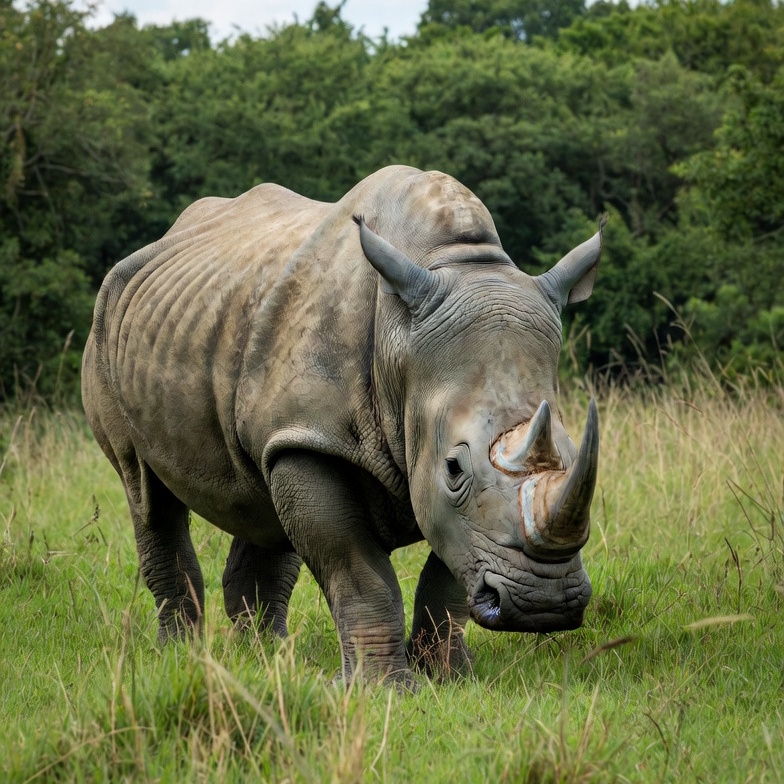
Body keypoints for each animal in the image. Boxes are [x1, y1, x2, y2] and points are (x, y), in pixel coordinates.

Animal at [82, 165, 602, 683]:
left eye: (574, 453)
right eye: (454, 468)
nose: (543, 604)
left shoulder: (449, 506)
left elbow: (448, 575)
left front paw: (449, 678)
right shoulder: (313, 437)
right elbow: (357, 570)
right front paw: (382, 688)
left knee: (261, 498)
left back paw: (268, 659)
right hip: (106, 323)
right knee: (145, 491)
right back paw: (180, 657)